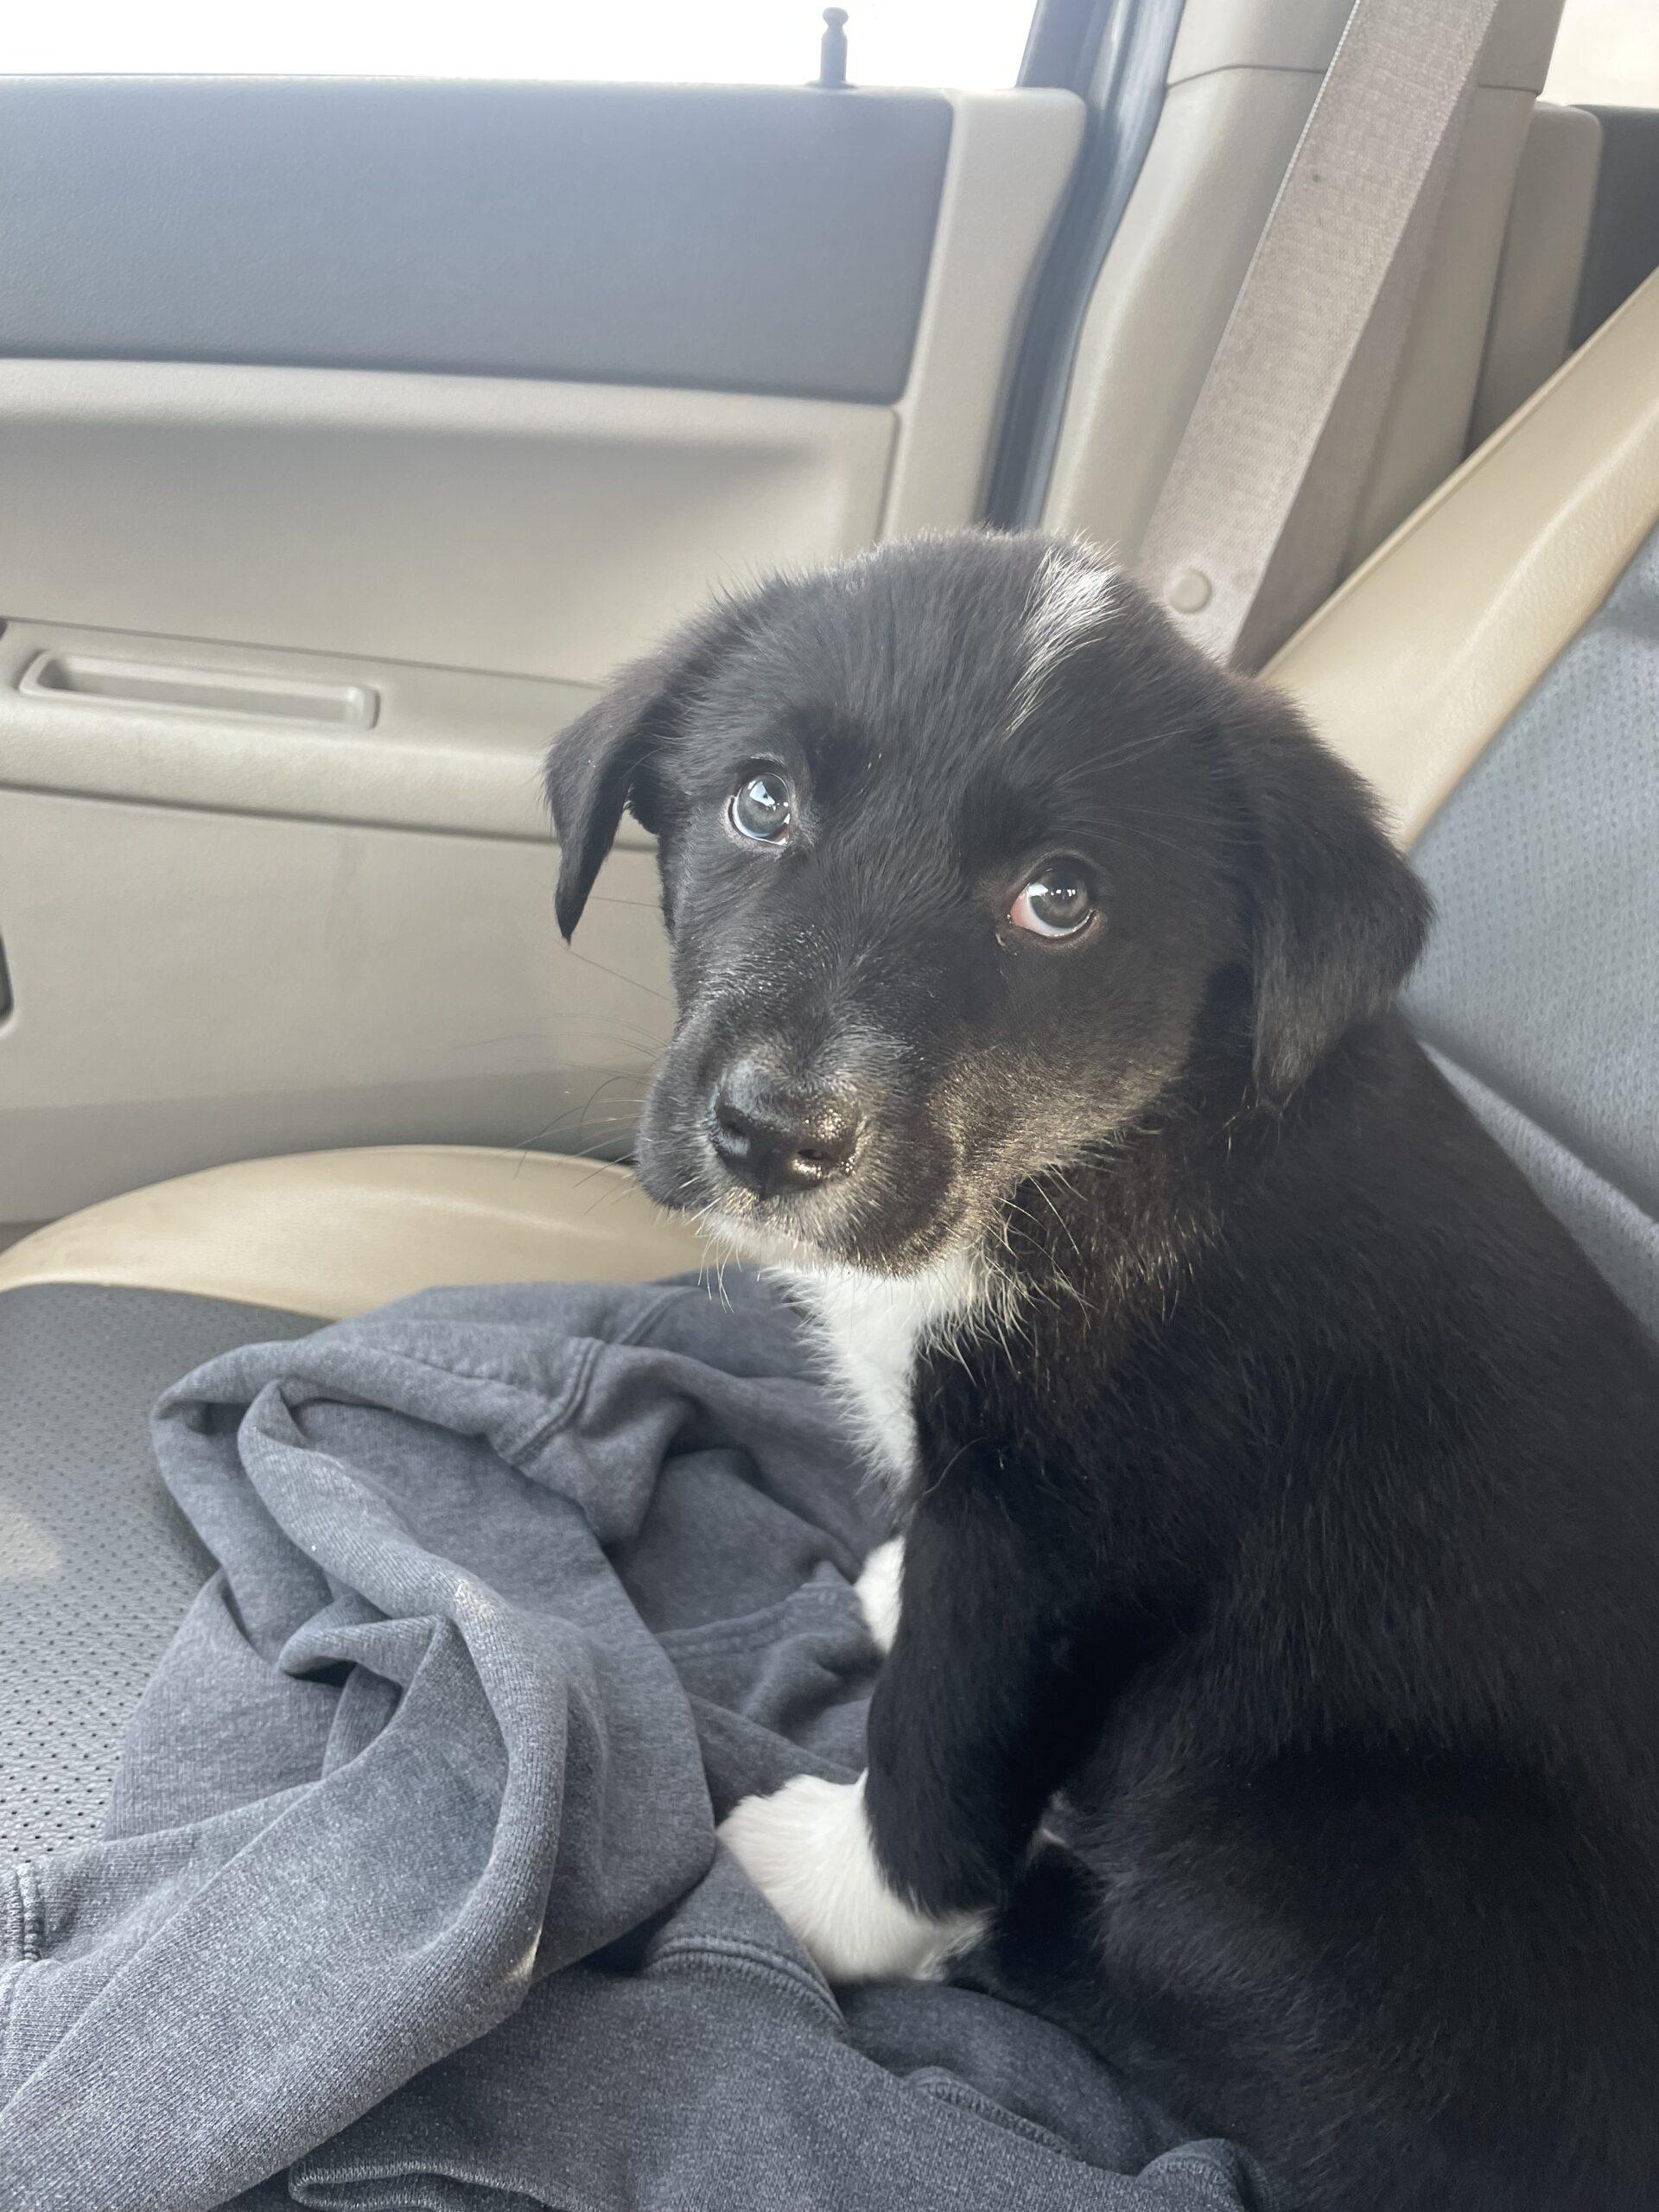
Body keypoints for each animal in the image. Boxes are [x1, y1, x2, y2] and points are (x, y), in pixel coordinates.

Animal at [546, 535, 1659, 2212]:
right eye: (760, 801)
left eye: (1056, 901)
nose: (775, 1140)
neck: (1098, 1154)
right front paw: (900, 1581)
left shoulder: (1069, 1534)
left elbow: (938, 1744)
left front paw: (836, 1887)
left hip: (1325, 1852)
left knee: (1257, 2036)